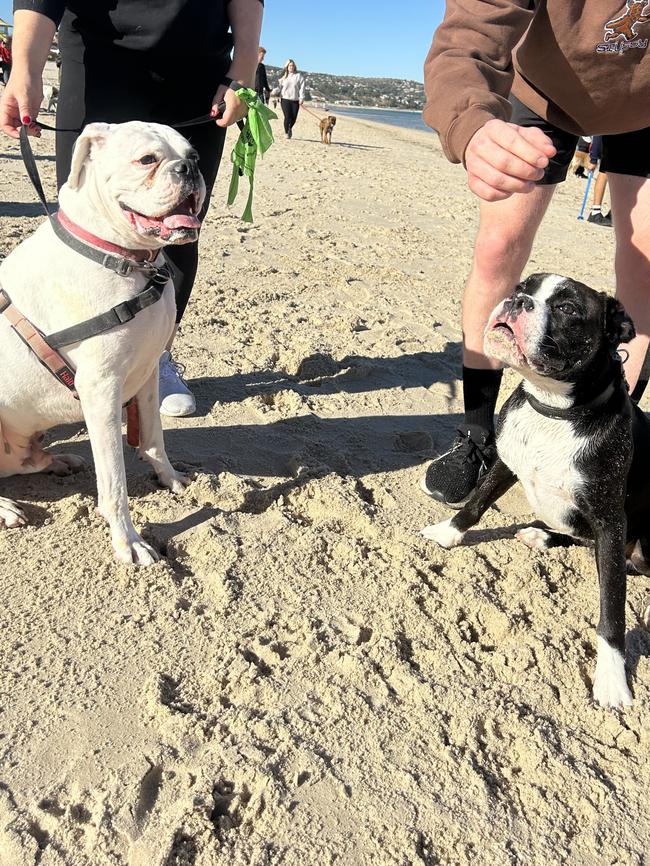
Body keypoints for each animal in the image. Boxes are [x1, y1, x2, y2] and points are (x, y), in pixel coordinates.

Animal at [0, 123, 205, 568]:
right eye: (147, 160)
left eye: (194, 154)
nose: (189, 169)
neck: (127, 260)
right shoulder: (101, 392)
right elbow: (114, 483)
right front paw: (128, 541)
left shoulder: (147, 374)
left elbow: (153, 438)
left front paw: (169, 478)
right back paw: (5, 507)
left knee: (21, 464)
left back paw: (57, 461)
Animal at [420, 274, 648, 704]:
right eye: (521, 286)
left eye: (568, 308)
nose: (518, 300)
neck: (555, 409)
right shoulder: (506, 463)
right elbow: (476, 502)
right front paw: (447, 532)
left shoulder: (610, 520)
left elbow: (612, 609)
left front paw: (612, 678)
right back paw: (540, 535)